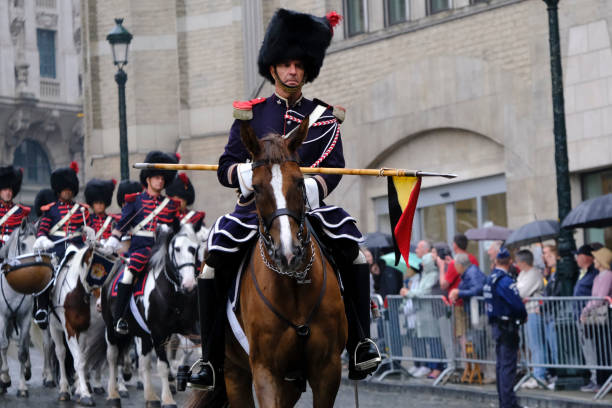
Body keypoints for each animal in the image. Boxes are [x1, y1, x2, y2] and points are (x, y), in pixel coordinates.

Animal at [186, 116, 346, 406]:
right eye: (257, 188)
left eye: (299, 182)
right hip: (234, 372)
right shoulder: (265, 370)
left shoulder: (328, 370)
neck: (294, 286)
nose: (288, 253)